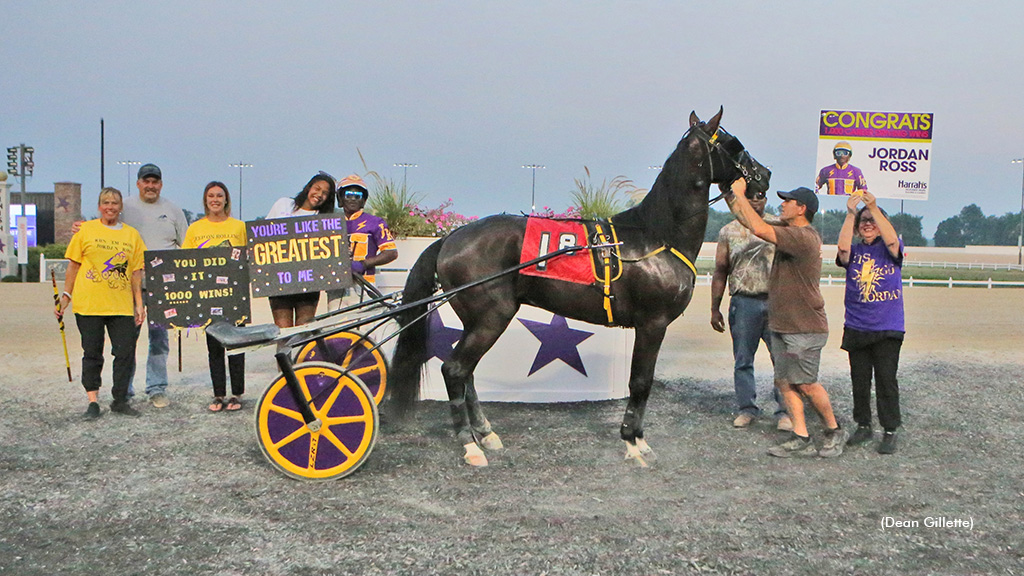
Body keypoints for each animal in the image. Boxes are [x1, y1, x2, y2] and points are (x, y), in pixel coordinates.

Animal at [388, 108, 770, 467]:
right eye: (734, 144)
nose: (764, 175)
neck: (656, 235)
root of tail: (450, 238)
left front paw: (638, 440)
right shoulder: (652, 323)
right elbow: (640, 382)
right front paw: (633, 443)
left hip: (477, 321)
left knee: (466, 373)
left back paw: (486, 434)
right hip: (491, 318)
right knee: (454, 370)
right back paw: (470, 445)